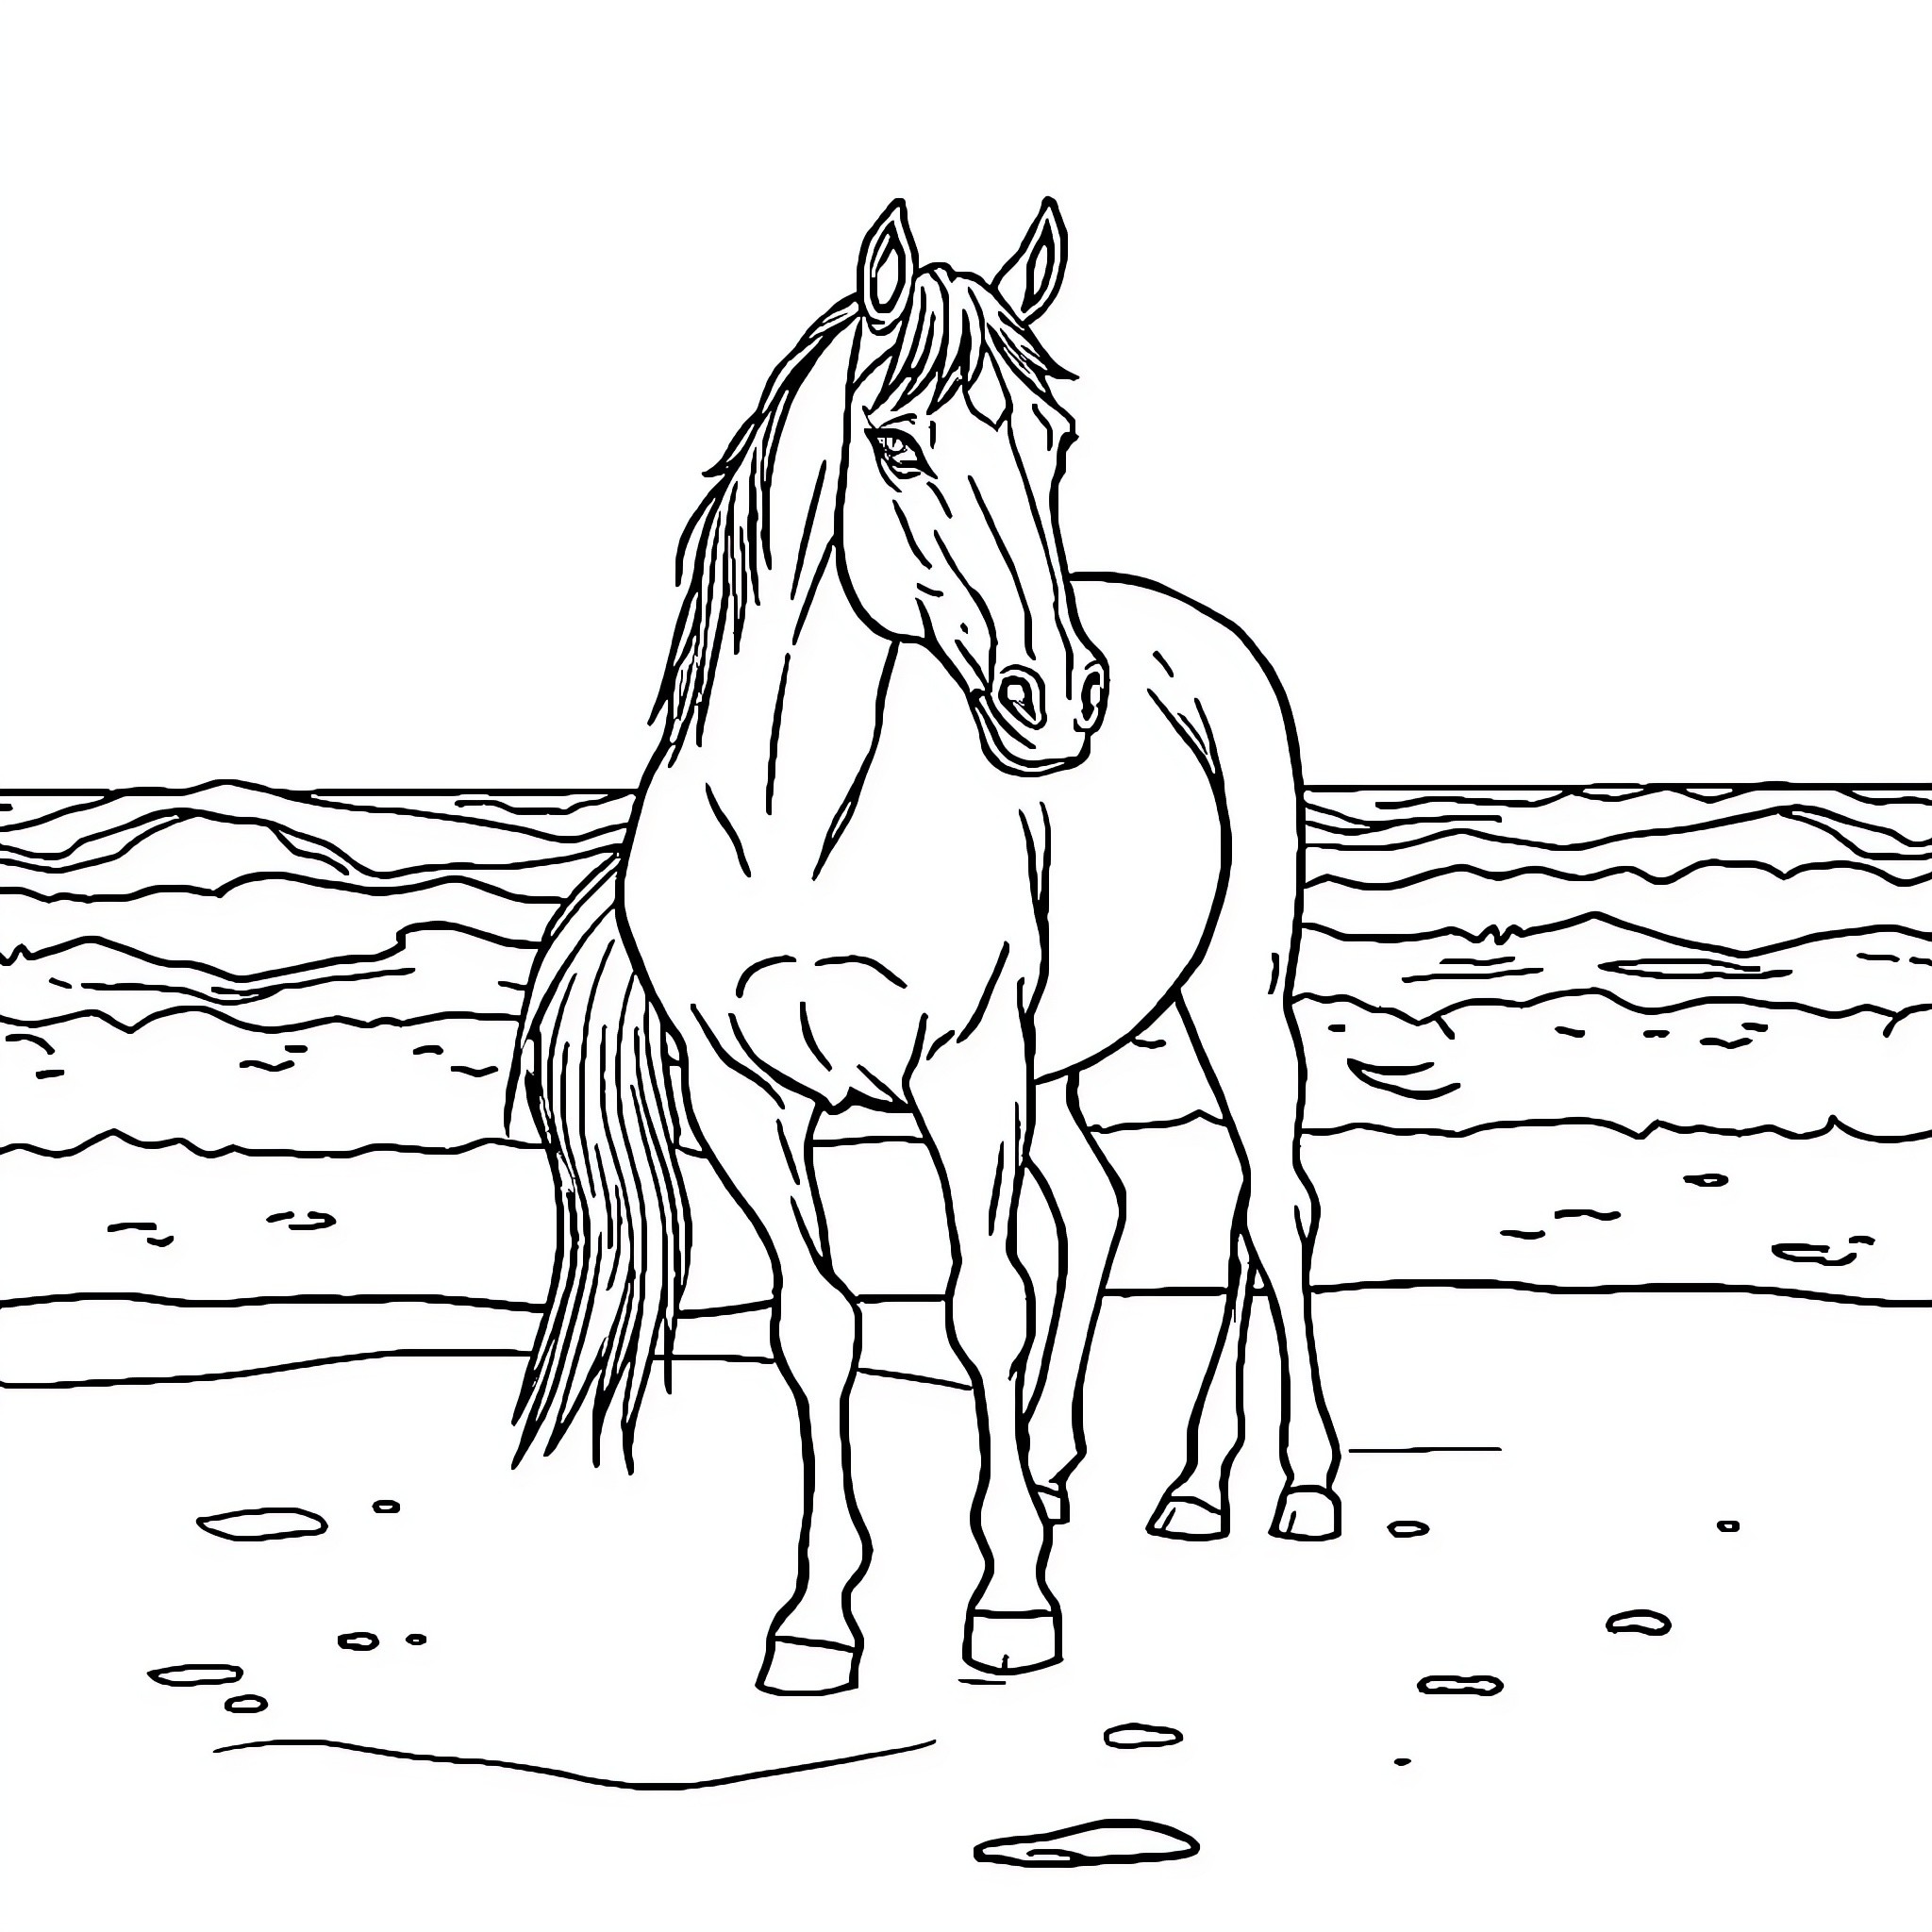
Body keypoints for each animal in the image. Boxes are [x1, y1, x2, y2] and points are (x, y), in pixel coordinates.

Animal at [512, 198, 1340, 1695]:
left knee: (1272, 1207)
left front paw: (1010, 1600)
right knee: (1106, 1204)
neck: (793, 820)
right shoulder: (748, 1099)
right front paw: (815, 1618)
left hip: (1231, 998)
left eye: (1054, 439)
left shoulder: (960, 1072)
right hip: (1059, 1059)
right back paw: (1125, 1474)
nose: (1056, 697)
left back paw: (1289, 1485)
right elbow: (819, 1322)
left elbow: (981, 1307)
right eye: (897, 445)